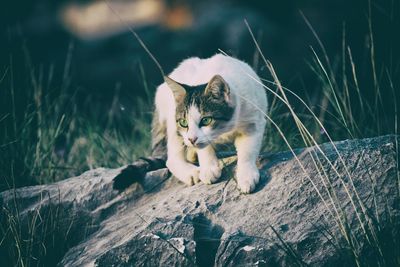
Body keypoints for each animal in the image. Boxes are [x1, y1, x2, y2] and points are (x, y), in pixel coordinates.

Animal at [114, 53, 268, 194]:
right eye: (183, 122)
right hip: (171, 122)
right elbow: (204, 148)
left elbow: (247, 152)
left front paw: (246, 176)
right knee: (171, 159)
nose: (192, 139)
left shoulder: (253, 122)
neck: (224, 130)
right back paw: (192, 172)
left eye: (206, 120)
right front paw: (209, 168)